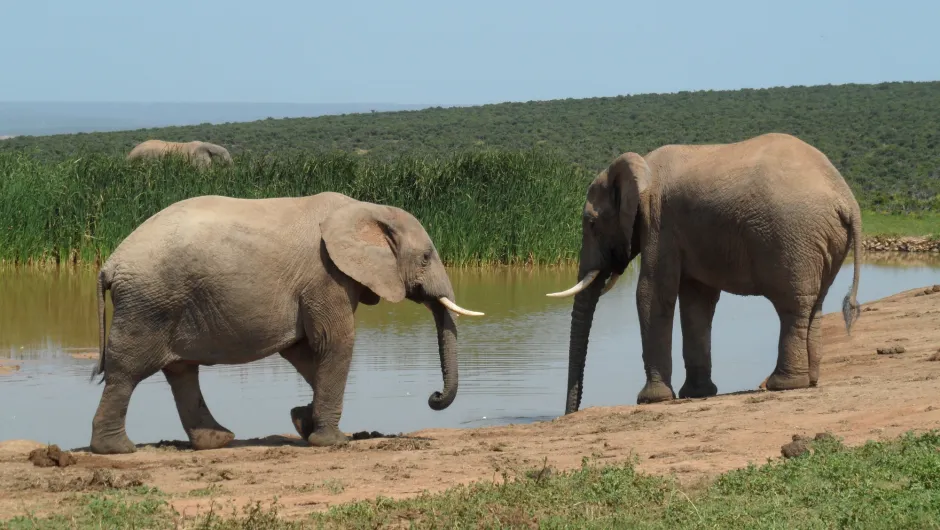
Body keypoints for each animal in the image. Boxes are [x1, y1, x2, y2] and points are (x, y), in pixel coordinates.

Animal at [86, 191, 484, 454]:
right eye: (426, 257)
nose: (433, 396)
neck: (366, 209)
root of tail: (110, 264)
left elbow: (304, 351)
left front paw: (301, 421)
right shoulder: (326, 276)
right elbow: (334, 343)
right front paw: (332, 441)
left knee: (182, 371)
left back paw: (216, 441)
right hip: (150, 302)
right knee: (128, 370)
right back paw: (118, 450)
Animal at [548, 132, 864, 412]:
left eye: (591, 224)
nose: (569, 413)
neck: (641, 167)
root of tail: (847, 198)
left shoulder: (660, 223)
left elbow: (652, 294)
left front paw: (651, 399)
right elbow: (697, 301)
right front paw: (697, 394)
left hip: (795, 236)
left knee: (792, 306)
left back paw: (784, 384)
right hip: (823, 240)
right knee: (815, 304)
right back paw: (810, 381)